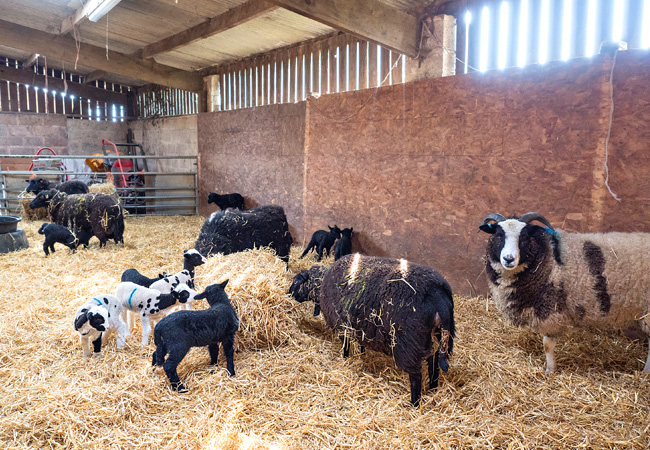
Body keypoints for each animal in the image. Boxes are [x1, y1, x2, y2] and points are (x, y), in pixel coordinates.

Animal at [288, 255, 456, 406]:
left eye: (296, 281)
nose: (288, 294)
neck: (322, 284)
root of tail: (439, 300)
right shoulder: (361, 327)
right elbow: (361, 346)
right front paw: (362, 355)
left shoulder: (343, 327)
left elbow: (345, 347)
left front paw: (345, 359)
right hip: (434, 338)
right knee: (434, 364)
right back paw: (433, 389)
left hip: (409, 344)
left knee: (416, 376)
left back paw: (415, 403)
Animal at [476, 213, 648, 374]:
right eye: (498, 235)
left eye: (524, 237)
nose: (509, 259)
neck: (547, 257)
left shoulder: (550, 310)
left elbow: (547, 345)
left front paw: (550, 370)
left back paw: (646, 372)